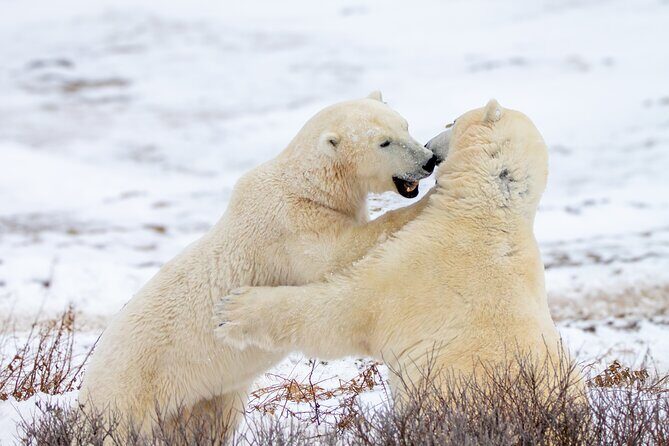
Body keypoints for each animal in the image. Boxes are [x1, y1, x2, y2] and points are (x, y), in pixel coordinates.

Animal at [78, 91, 438, 435]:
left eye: (404, 125)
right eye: (384, 142)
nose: (429, 161)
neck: (308, 186)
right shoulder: (291, 226)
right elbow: (338, 255)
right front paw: (425, 203)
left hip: (202, 397)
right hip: (128, 392)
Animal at [213, 99, 573, 401]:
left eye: (453, 120)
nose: (429, 150)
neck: (487, 212)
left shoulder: (414, 270)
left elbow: (342, 308)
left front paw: (234, 309)